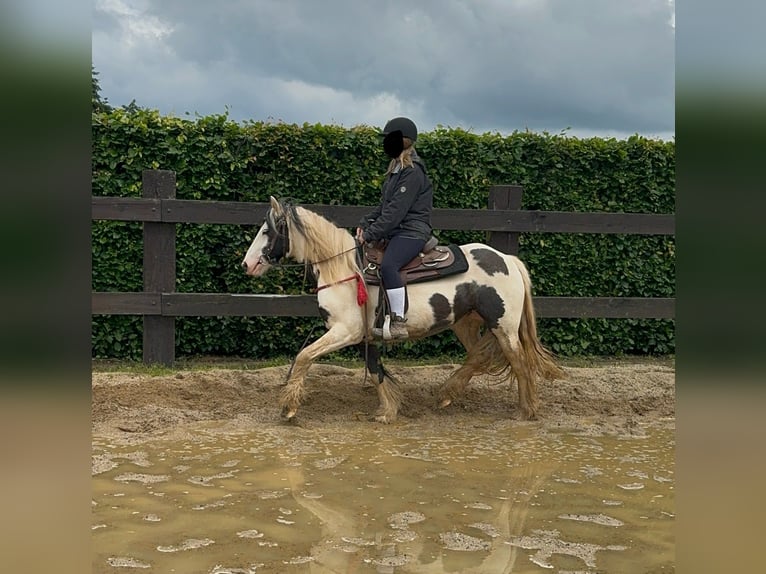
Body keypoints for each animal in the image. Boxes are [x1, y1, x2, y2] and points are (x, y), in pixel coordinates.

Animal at [243, 197, 568, 424]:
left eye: (266, 230)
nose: (247, 264)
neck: (344, 269)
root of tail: (507, 259)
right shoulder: (364, 336)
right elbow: (376, 370)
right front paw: (387, 410)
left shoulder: (345, 331)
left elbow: (304, 357)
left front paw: (288, 407)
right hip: (465, 323)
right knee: (478, 356)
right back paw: (447, 395)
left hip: (504, 327)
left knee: (520, 364)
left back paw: (525, 412)